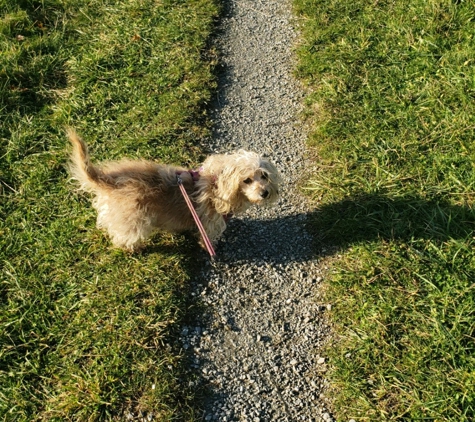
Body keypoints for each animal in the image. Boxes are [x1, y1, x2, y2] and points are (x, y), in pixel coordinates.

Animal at [69, 129, 280, 252]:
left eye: (264, 175)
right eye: (247, 180)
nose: (265, 193)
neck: (218, 184)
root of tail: (108, 180)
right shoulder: (210, 224)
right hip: (132, 221)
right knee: (123, 238)